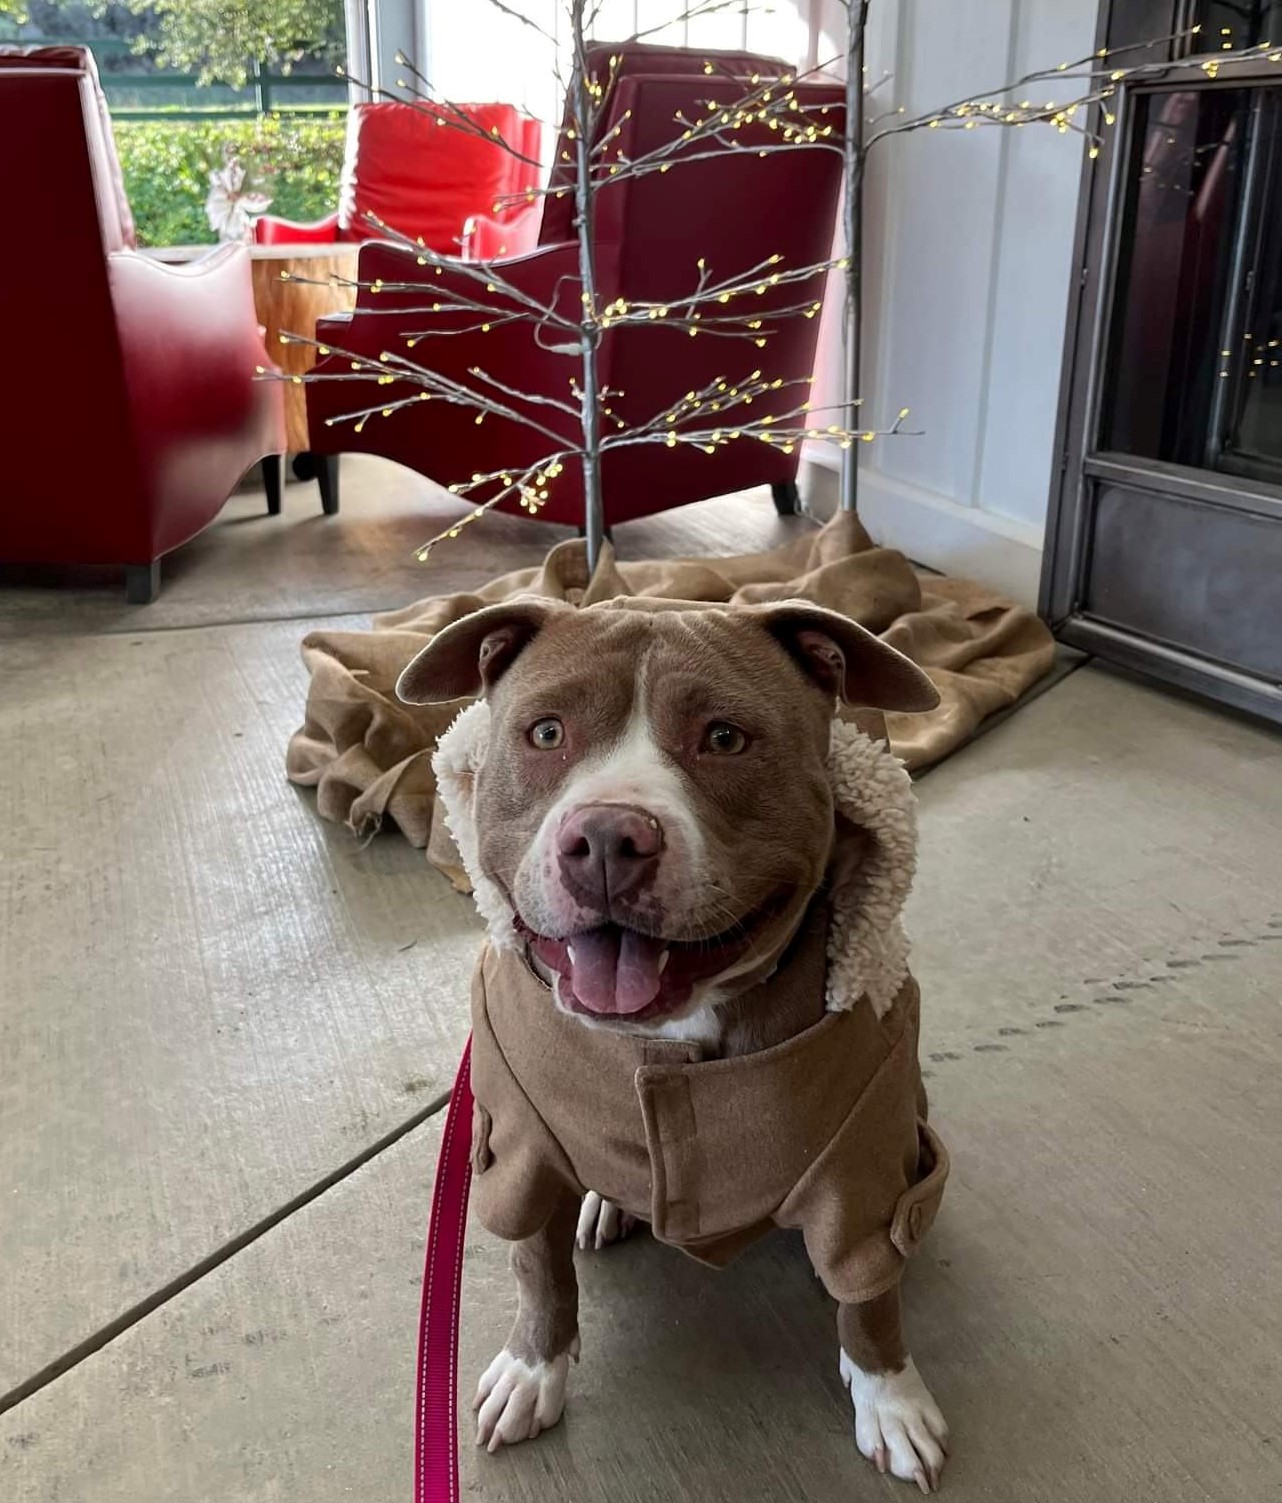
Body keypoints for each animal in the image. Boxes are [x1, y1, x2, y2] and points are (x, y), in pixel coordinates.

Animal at [398, 595, 951, 1492]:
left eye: (723, 737)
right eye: (545, 733)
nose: (607, 837)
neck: (664, 1036)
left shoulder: (862, 1165)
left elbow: (870, 1297)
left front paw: (891, 1398)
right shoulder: (519, 1150)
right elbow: (537, 1270)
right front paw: (532, 1368)